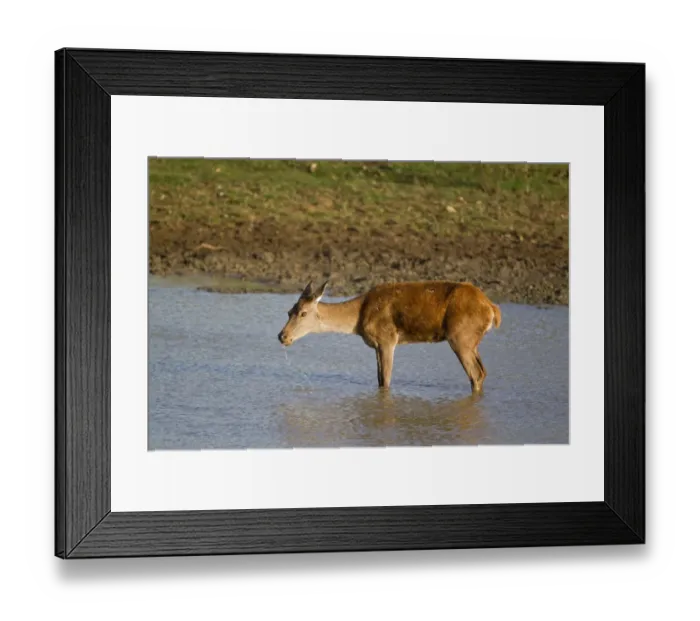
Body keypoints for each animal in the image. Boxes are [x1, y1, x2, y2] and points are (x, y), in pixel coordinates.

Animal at [278, 280, 501, 394]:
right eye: (289, 311)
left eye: (303, 313)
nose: (282, 336)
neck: (358, 319)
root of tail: (492, 309)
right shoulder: (377, 344)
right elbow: (379, 380)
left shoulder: (387, 339)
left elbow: (385, 380)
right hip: (471, 341)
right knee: (483, 371)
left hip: (460, 336)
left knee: (475, 374)